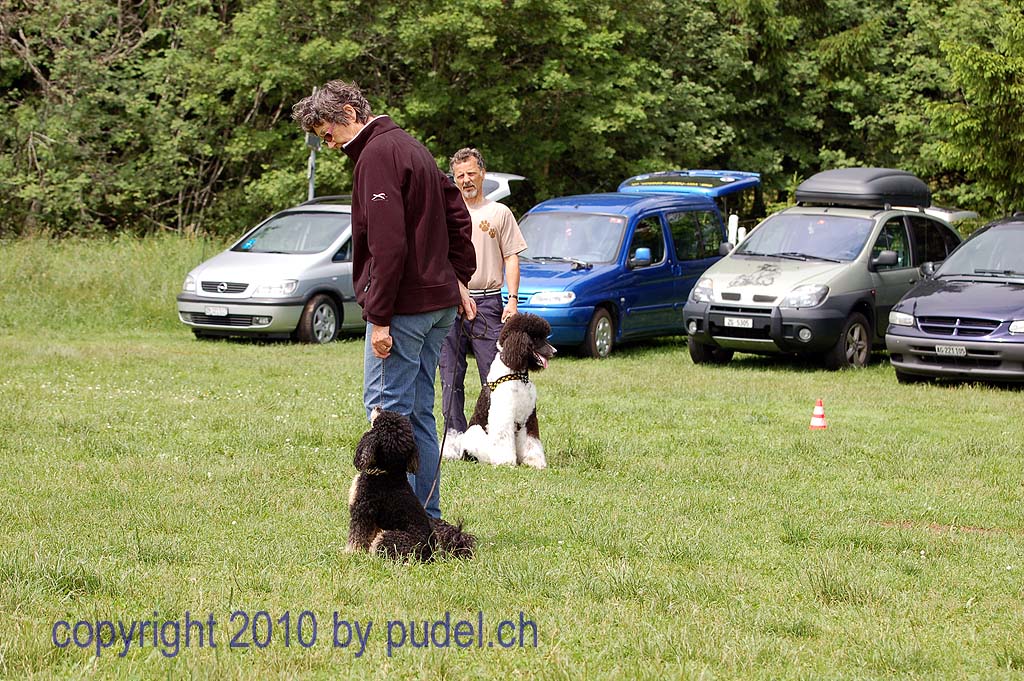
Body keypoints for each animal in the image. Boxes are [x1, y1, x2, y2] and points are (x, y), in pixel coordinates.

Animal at [347, 408, 475, 561]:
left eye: (380, 420)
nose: (378, 407)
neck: (388, 472)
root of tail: (430, 554)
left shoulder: (363, 511)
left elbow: (357, 537)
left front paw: (350, 554)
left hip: (388, 536)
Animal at [452, 313, 555, 468]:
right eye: (536, 338)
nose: (554, 351)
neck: (517, 375)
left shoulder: (529, 417)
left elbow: (532, 440)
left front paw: (535, 462)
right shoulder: (503, 417)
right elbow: (503, 440)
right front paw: (506, 462)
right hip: (475, 432)